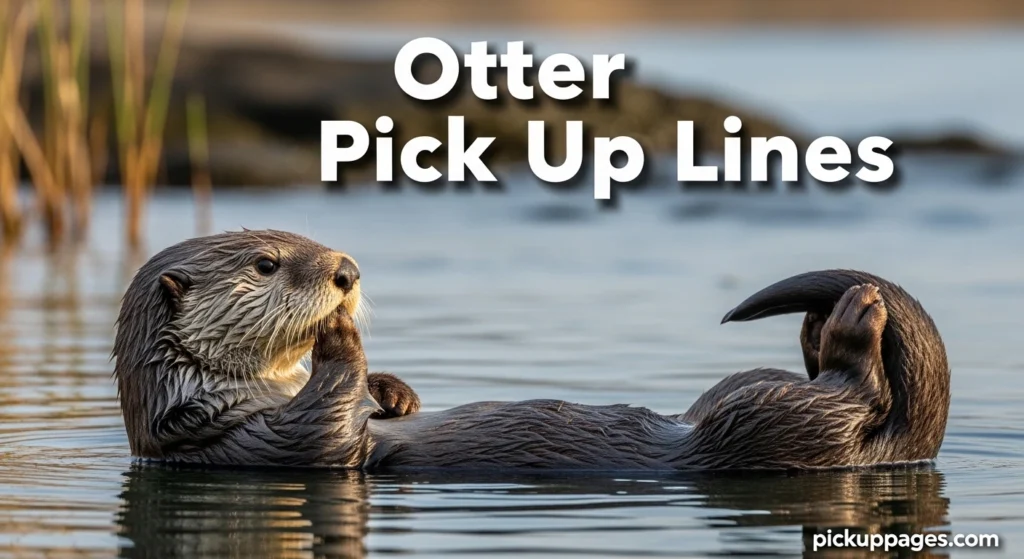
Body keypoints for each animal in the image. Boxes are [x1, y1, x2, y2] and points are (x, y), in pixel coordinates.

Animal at [113, 230, 950, 470]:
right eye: (267, 262)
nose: (346, 272)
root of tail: (896, 450)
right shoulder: (251, 442)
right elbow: (324, 427)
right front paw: (342, 339)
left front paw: (395, 389)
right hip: (759, 427)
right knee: (854, 392)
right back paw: (853, 319)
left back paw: (825, 321)